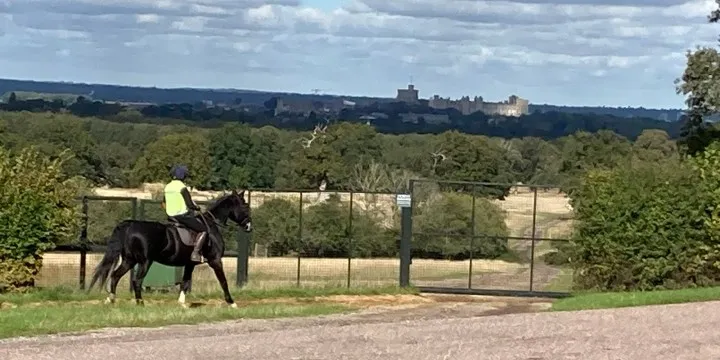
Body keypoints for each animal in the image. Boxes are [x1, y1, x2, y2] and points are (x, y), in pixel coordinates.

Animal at [88, 190, 253, 308]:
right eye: (245, 206)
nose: (249, 227)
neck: (212, 225)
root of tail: (130, 225)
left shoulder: (190, 264)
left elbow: (185, 282)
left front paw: (181, 304)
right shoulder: (215, 261)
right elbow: (223, 281)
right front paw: (232, 302)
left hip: (129, 260)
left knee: (115, 276)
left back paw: (111, 300)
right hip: (145, 262)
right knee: (136, 280)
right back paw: (140, 303)